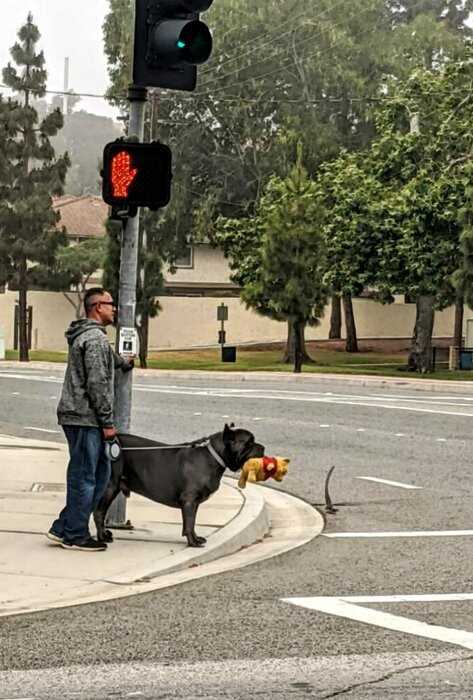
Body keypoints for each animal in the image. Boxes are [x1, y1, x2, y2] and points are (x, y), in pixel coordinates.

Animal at [94, 426, 264, 548]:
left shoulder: (193, 503)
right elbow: (189, 522)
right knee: (99, 513)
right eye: (249, 442)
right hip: (110, 487)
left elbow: (192, 521)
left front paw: (195, 538)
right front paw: (193, 542)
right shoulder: (189, 500)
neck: (214, 456)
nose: (263, 447)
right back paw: (102, 537)